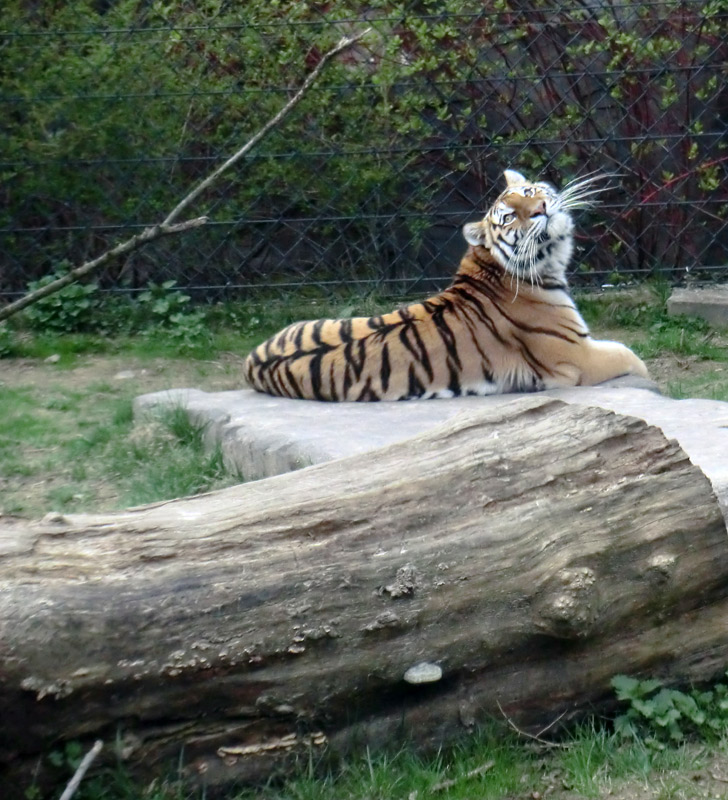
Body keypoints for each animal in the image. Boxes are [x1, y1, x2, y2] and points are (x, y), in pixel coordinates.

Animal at [245, 171, 648, 404]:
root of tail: (251, 360)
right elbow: (634, 357)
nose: (540, 210)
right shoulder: (579, 357)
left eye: (531, 191)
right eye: (509, 216)